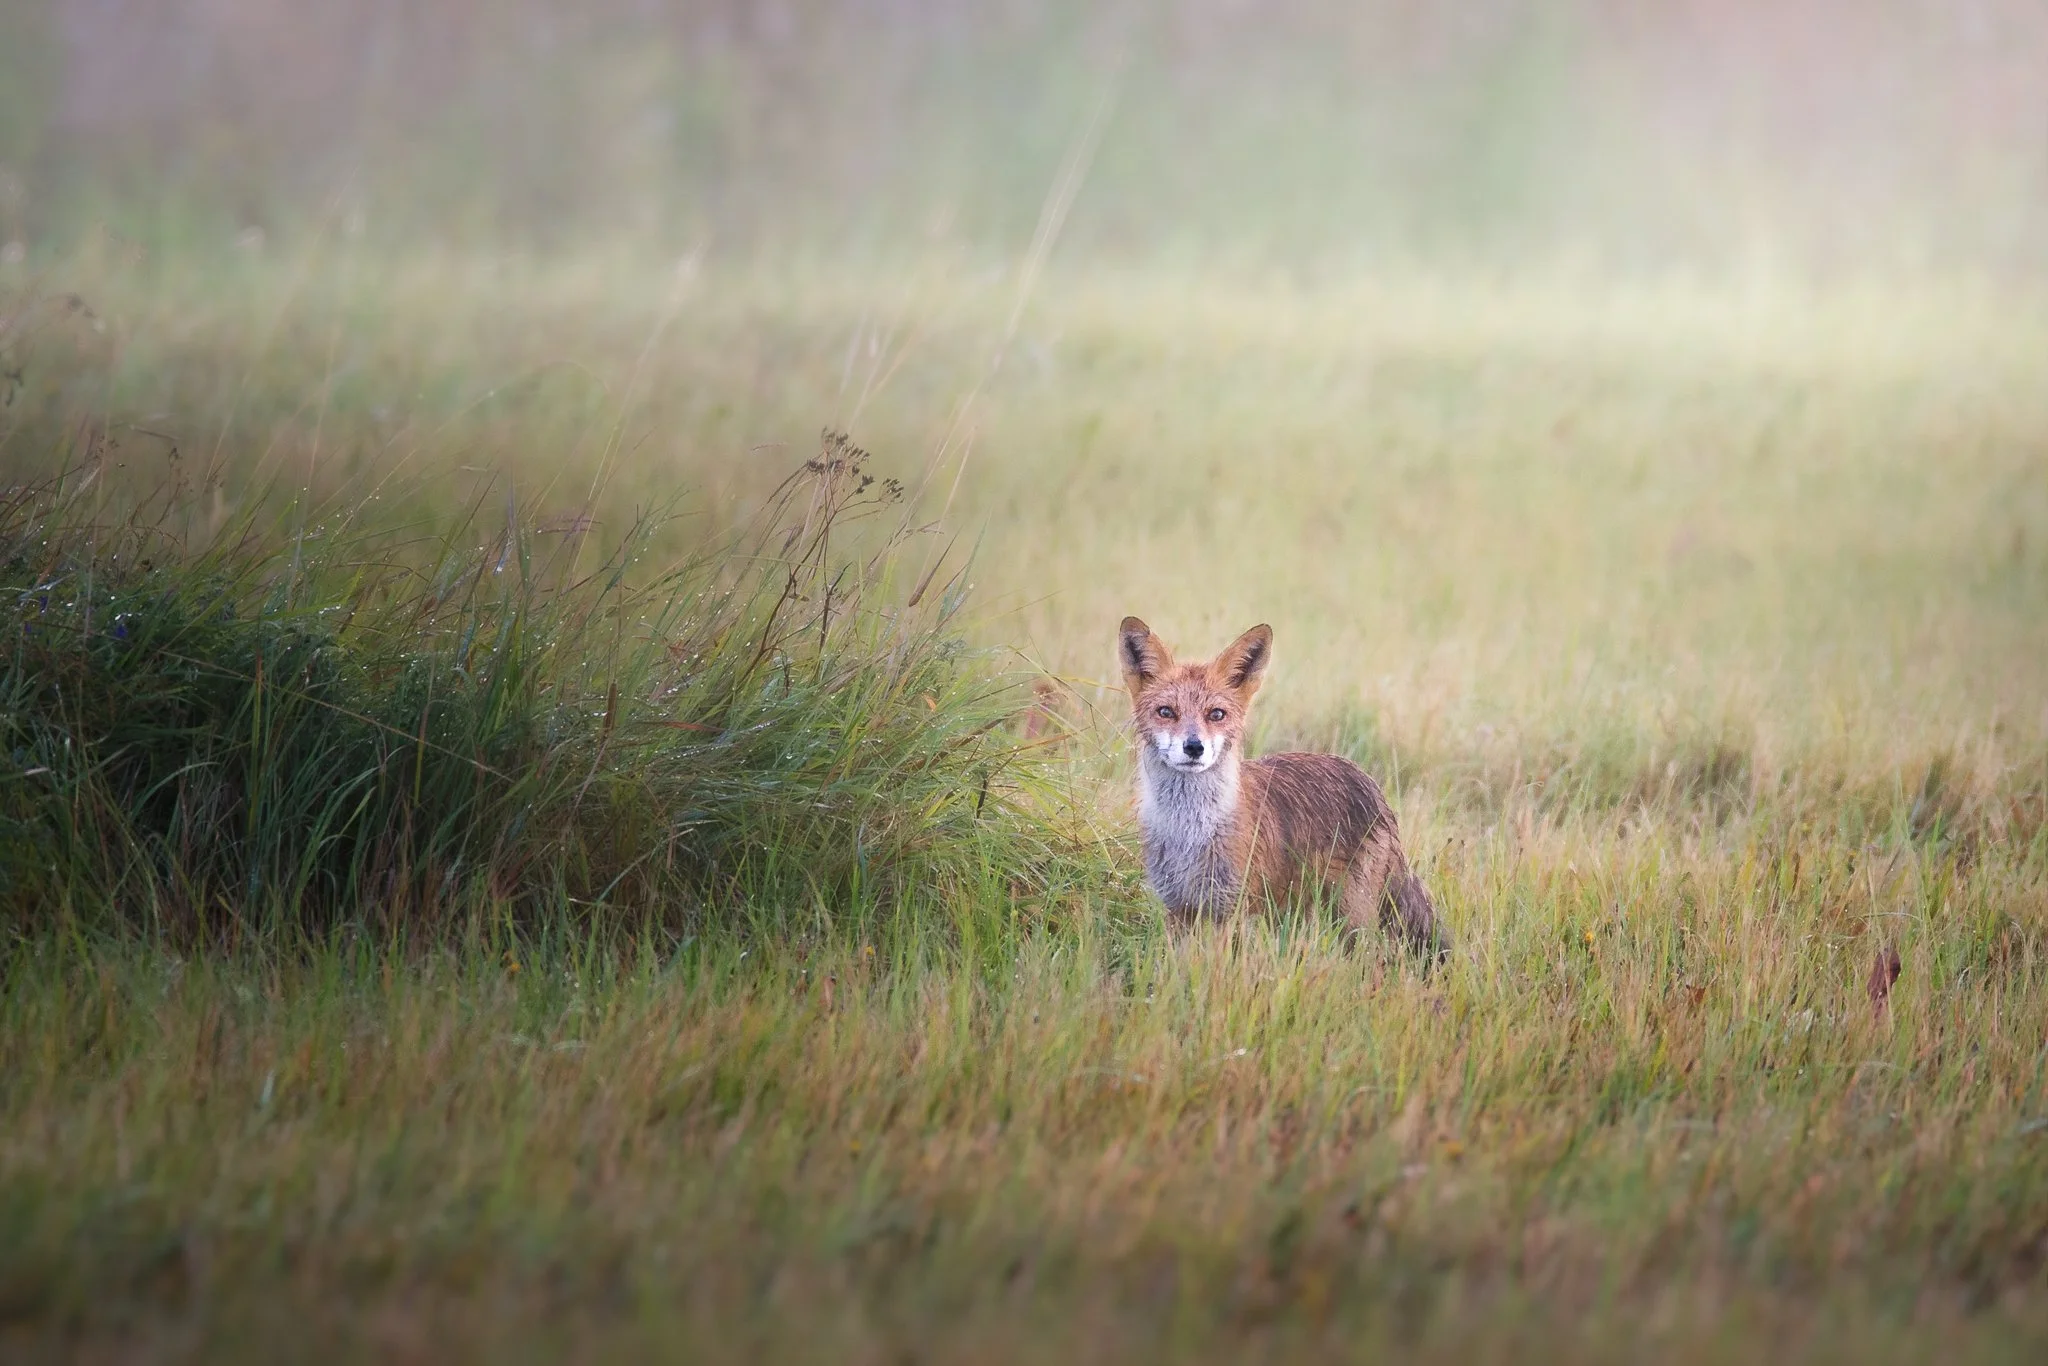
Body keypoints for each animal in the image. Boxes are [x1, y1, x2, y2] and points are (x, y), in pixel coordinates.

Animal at [1119, 616, 1445, 953]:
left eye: (1216, 714)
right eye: (1166, 712)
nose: (1194, 747)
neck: (1190, 833)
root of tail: (1368, 782)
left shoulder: (1230, 910)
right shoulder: (1178, 909)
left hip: (1351, 915)